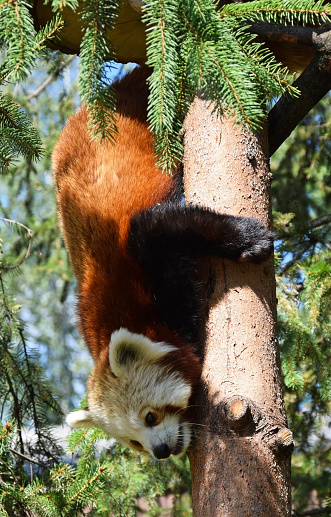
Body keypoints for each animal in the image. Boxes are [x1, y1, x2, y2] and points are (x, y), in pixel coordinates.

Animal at [52, 65, 274, 460]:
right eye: (133, 441)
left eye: (150, 416)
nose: (160, 452)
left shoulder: (138, 249)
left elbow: (170, 225)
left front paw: (249, 239)